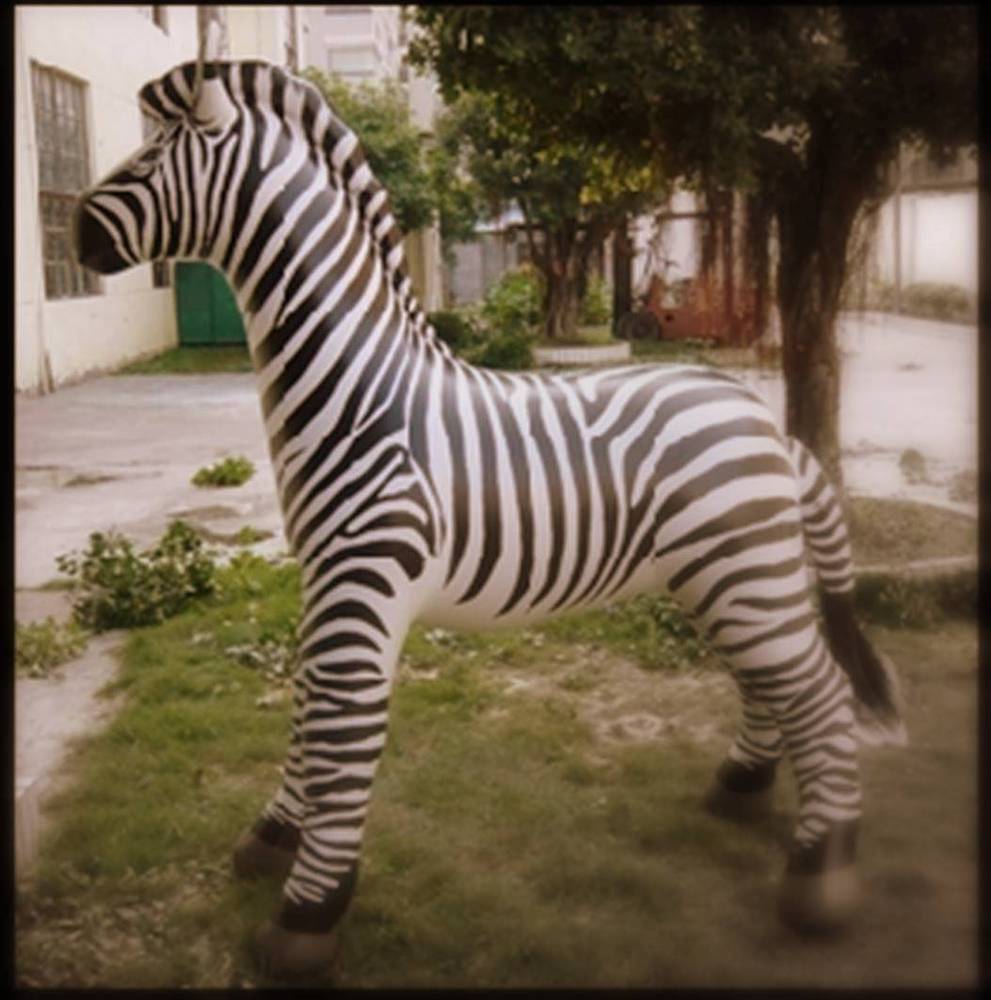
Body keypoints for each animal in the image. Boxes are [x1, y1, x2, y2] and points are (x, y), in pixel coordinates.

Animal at [72, 57, 905, 979]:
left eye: (149, 158)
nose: (73, 232)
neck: (363, 394)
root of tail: (767, 423)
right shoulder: (323, 578)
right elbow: (307, 702)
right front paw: (274, 837)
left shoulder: (365, 582)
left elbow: (342, 727)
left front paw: (308, 912)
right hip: (724, 579)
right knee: (773, 685)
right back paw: (742, 791)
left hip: (743, 572)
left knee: (818, 694)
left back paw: (818, 878)